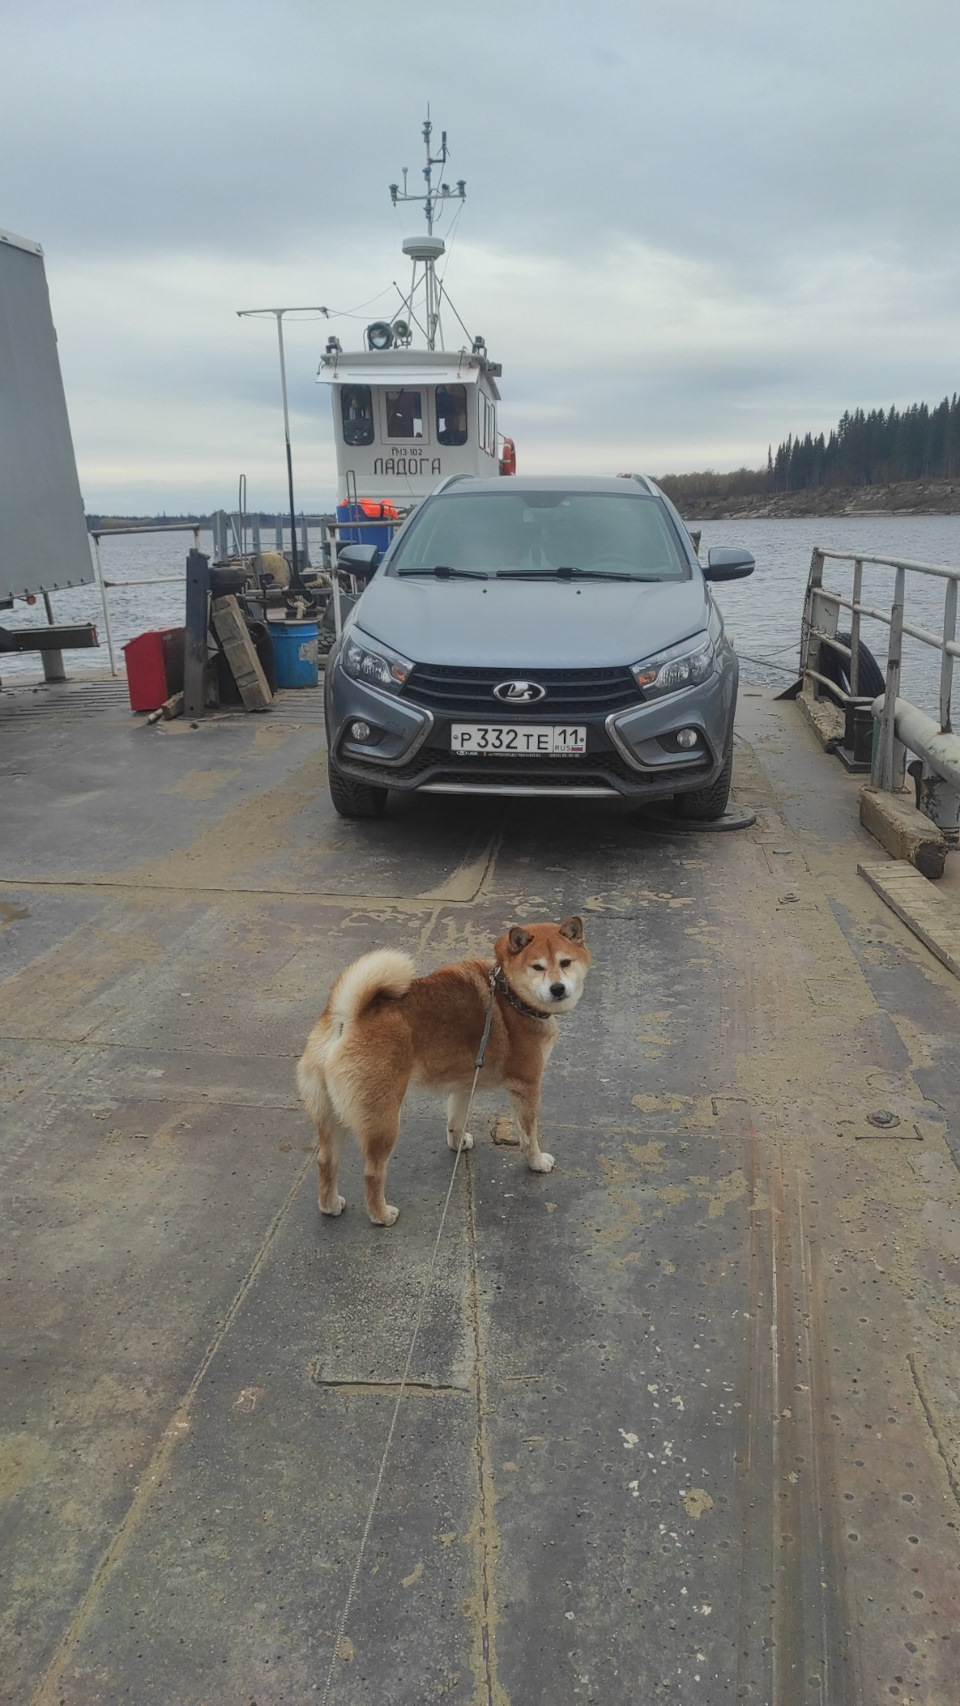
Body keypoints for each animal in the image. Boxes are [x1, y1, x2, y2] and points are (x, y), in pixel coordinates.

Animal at [296, 921, 589, 1228]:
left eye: (565, 963)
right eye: (537, 967)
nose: (558, 988)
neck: (509, 994)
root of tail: (346, 1018)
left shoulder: (464, 1084)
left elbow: (455, 1120)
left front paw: (458, 1143)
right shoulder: (526, 1085)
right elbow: (528, 1134)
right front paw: (537, 1162)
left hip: (331, 1115)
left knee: (325, 1160)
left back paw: (329, 1205)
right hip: (383, 1121)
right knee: (372, 1173)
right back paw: (381, 1215)